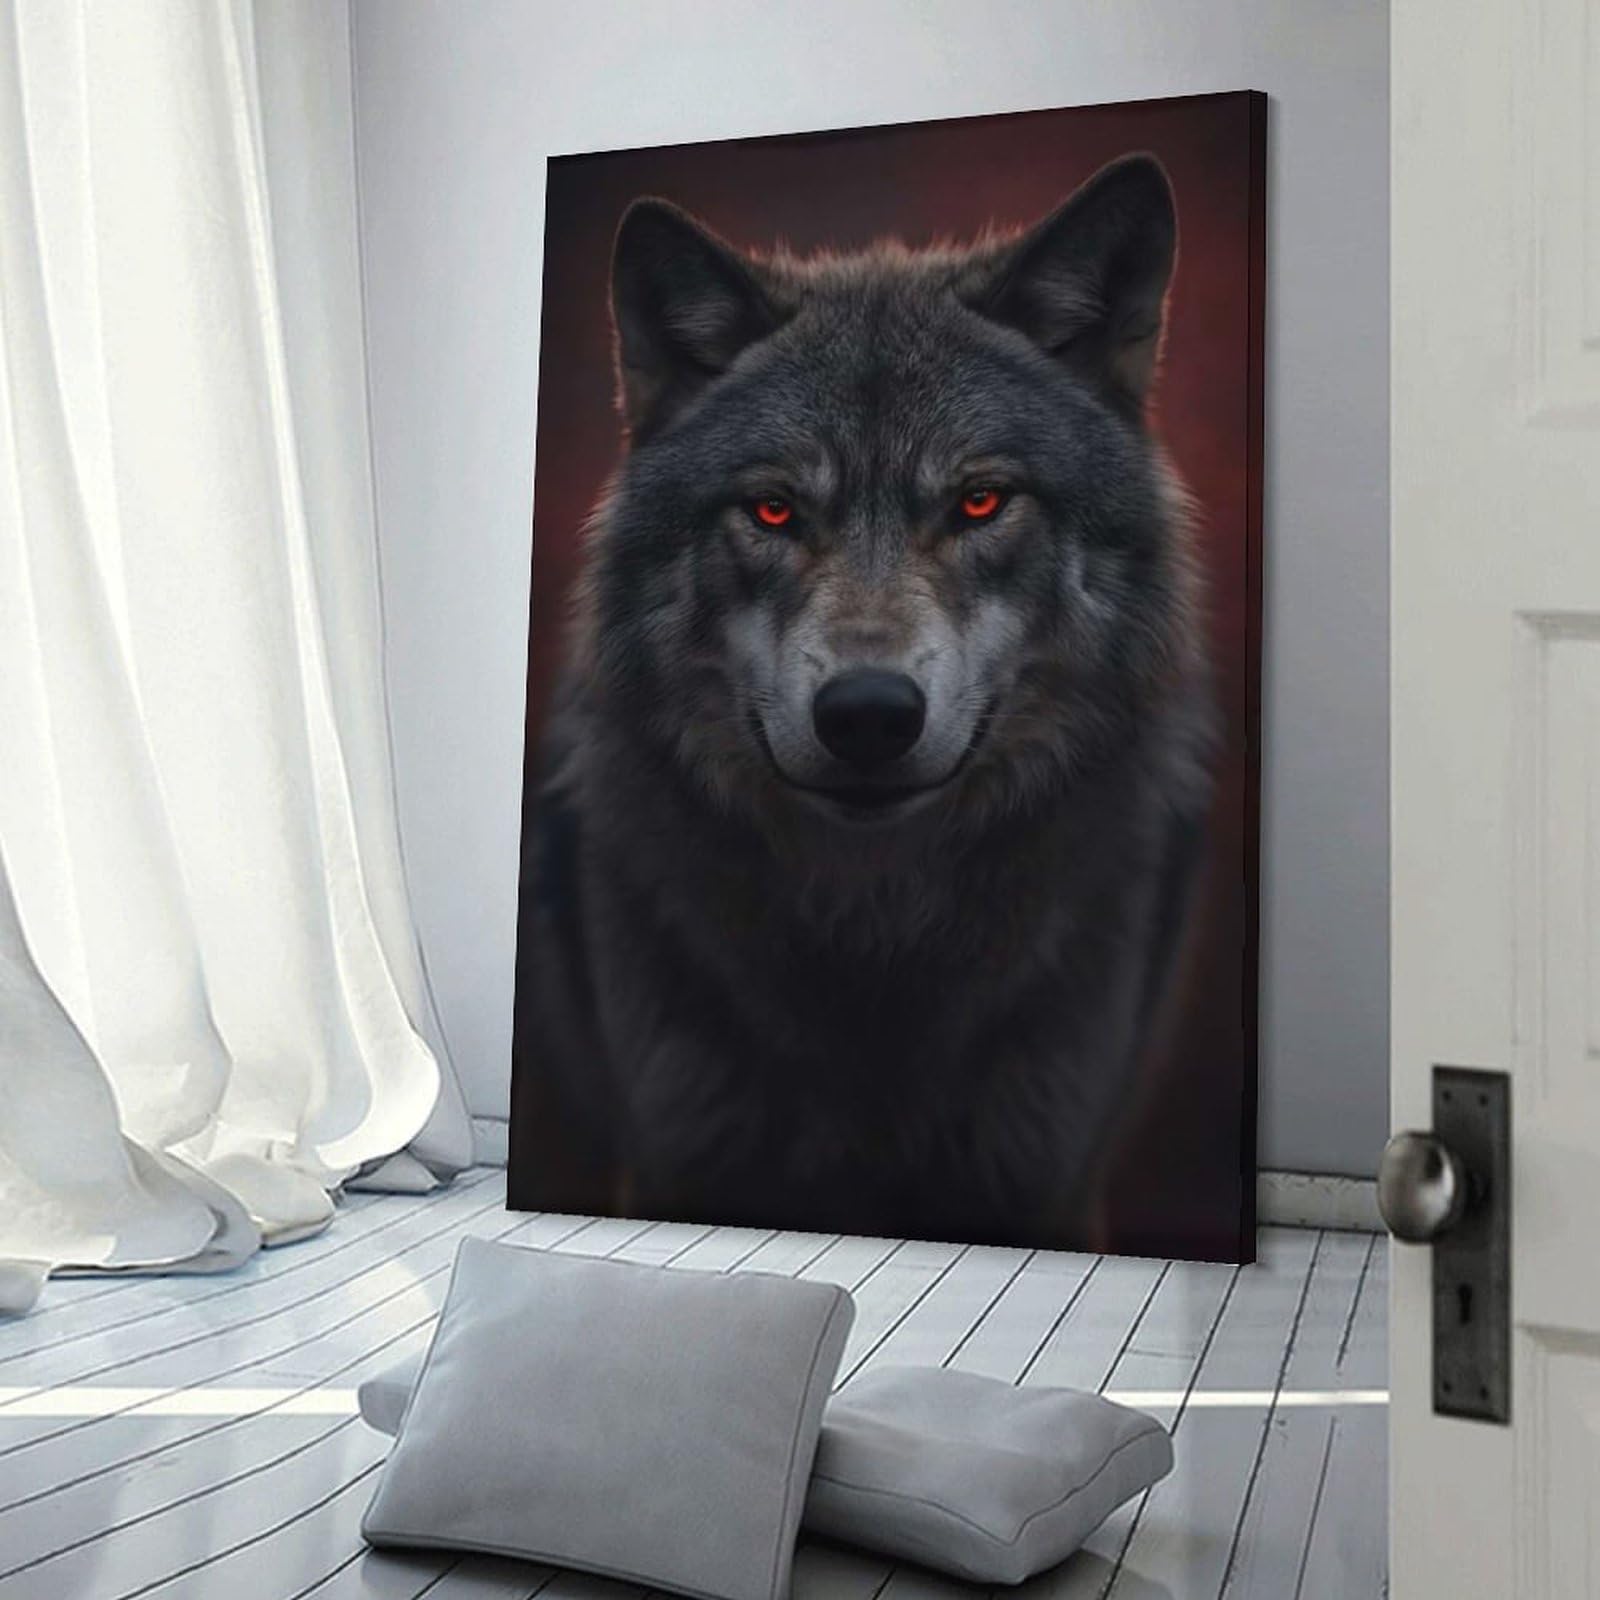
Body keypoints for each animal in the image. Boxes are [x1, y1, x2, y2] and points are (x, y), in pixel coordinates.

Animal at [509, 154, 1217, 1247]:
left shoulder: (1045, 1173)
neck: (875, 940)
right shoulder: (679, 1151)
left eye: (979, 501)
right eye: (771, 510)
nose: (870, 715)